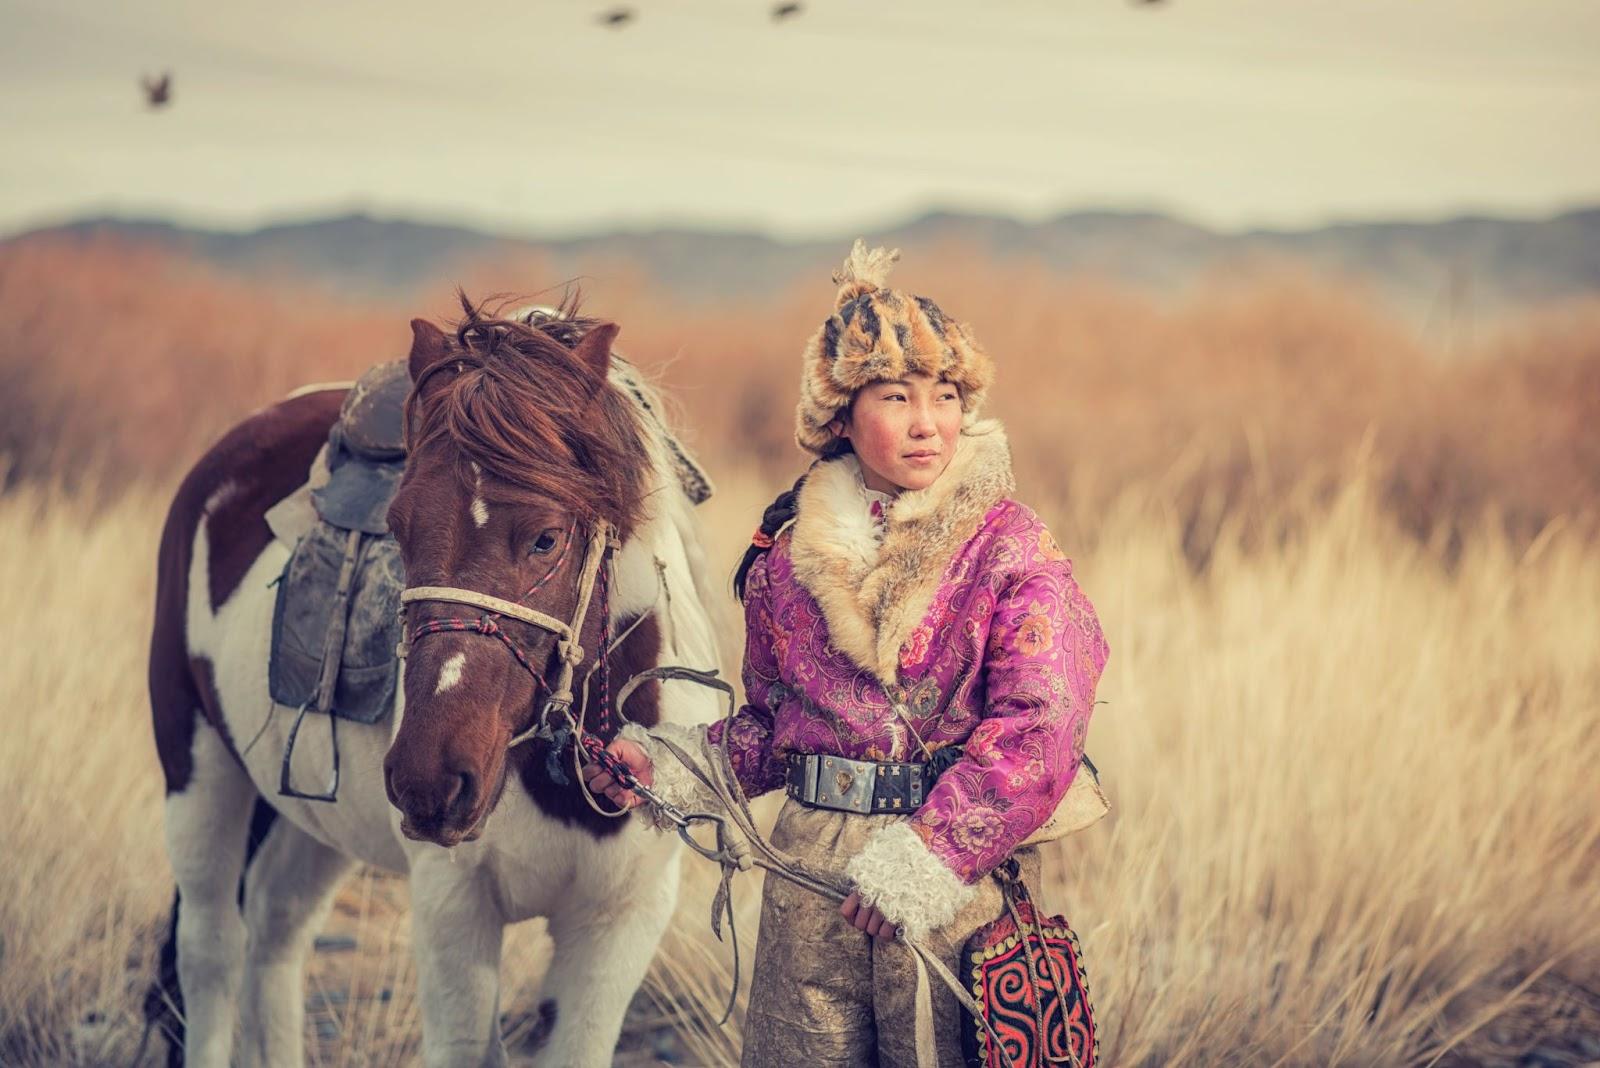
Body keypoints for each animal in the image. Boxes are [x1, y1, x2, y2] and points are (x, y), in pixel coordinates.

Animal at [150, 303, 726, 1061]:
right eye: (397, 526)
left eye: (546, 537)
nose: (430, 780)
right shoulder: (453, 911)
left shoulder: (619, 922)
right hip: (198, 767)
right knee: (211, 949)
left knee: (276, 929)